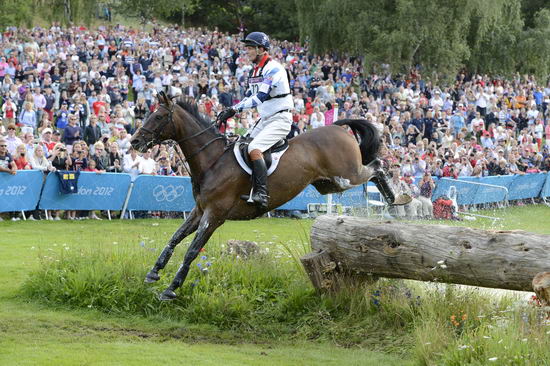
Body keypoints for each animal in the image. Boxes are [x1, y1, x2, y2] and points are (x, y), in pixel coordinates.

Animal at [131, 92, 402, 300]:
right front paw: (153, 273)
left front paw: (171, 289)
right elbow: (174, 239)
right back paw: (395, 200)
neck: (213, 161)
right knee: (372, 170)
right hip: (329, 184)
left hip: (346, 176)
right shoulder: (199, 211)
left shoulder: (214, 215)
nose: (134, 141)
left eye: (158, 116)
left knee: (377, 167)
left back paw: (398, 200)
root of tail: (337, 128)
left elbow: (191, 250)